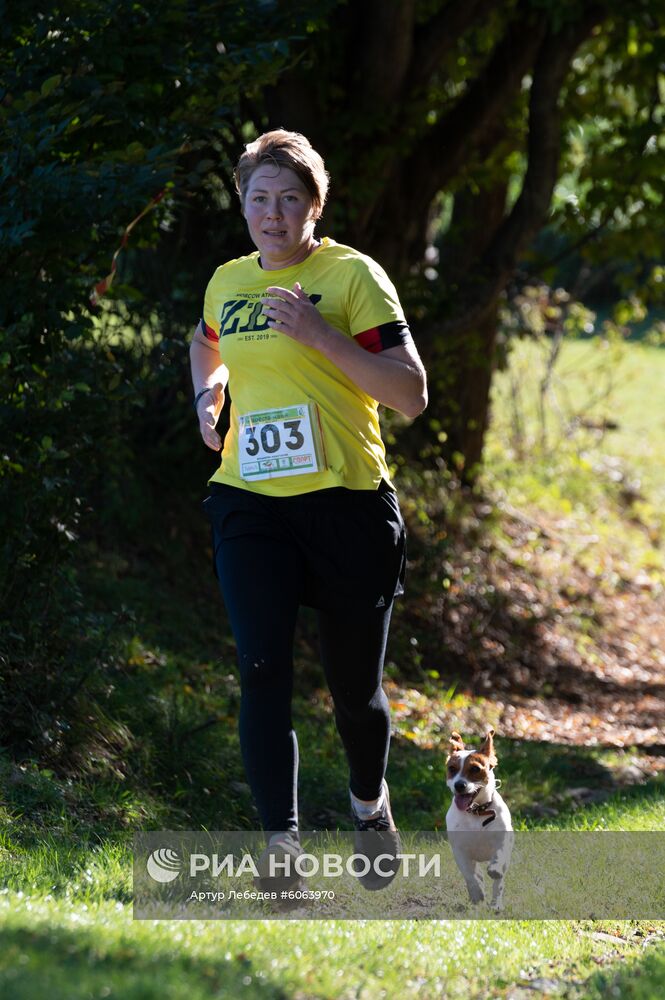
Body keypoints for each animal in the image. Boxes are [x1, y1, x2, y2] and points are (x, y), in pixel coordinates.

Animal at [446, 732, 512, 912]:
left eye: (475, 769)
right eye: (452, 769)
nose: (459, 785)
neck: (477, 812)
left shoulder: (502, 841)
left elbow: (498, 856)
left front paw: (494, 869)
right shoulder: (460, 851)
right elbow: (471, 875)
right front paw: (477, 892)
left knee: (498, 884)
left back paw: (496, 904)